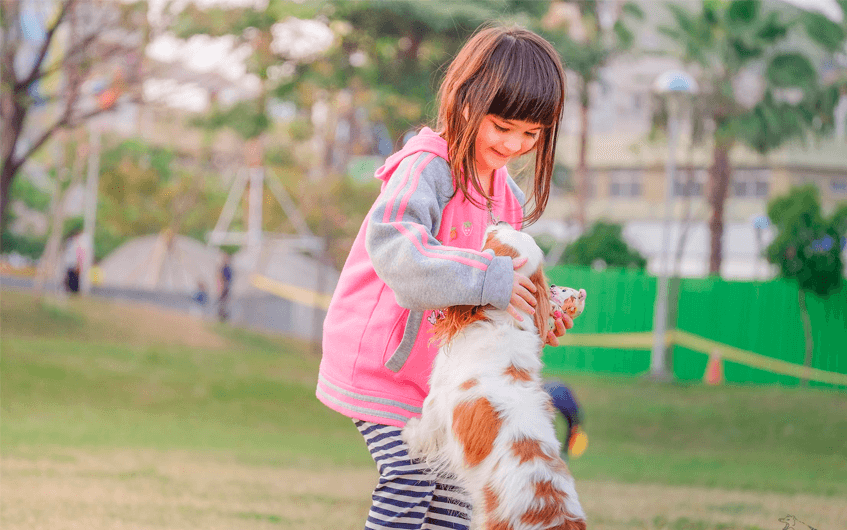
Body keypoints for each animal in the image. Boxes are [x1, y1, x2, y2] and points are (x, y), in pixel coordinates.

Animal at [404, 223, 588, 528]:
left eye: (491, 238)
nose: (498, 221)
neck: (504, 321)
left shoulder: (437, 399)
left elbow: (424, 429)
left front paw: (409, 433)